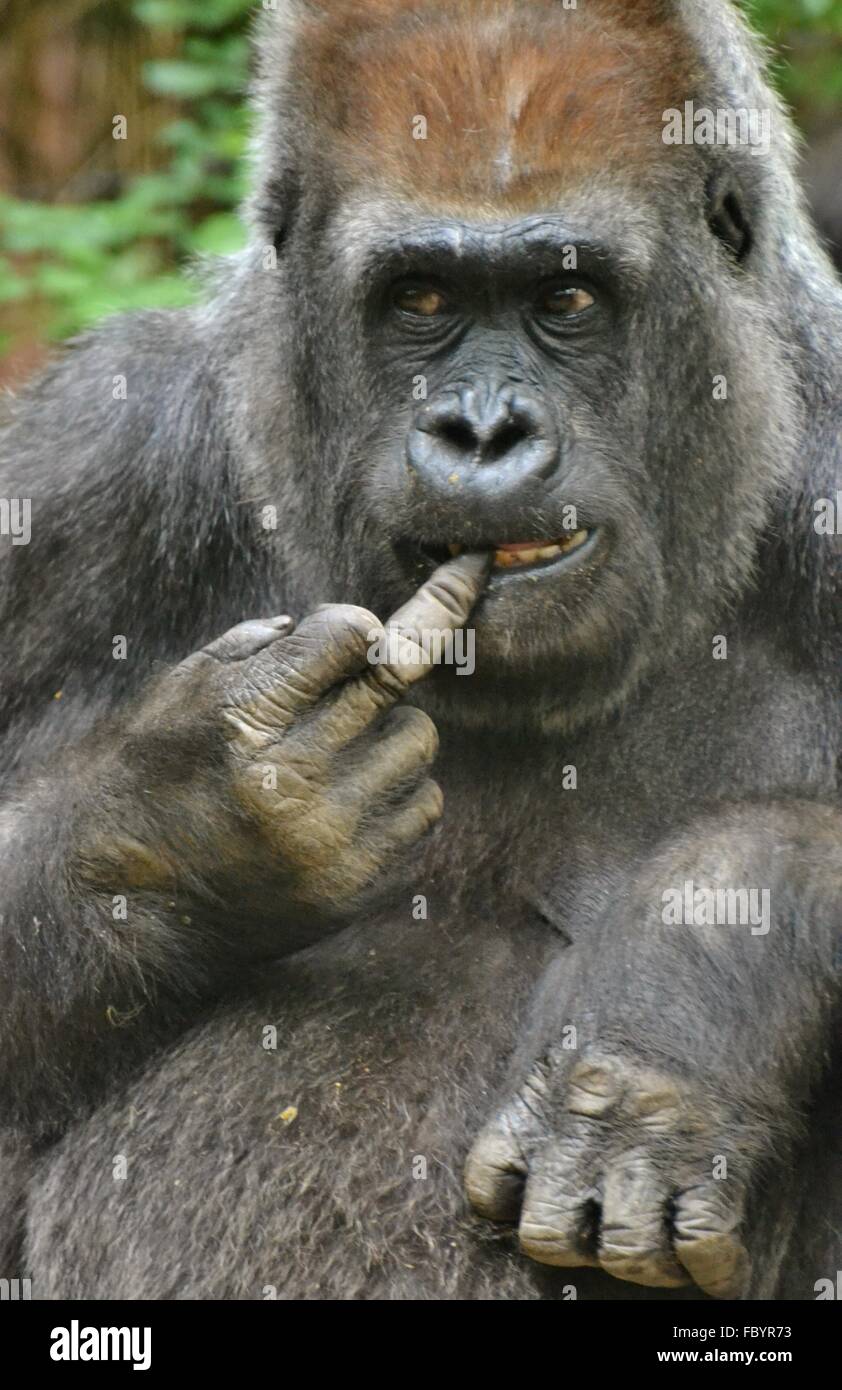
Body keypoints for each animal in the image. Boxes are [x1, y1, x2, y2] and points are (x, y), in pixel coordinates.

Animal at [1, 0, 840, 1301]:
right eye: (422, 299)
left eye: (567, 300)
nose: (479, 431)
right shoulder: (92, 462)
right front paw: (191, 816)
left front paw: (691, 963)